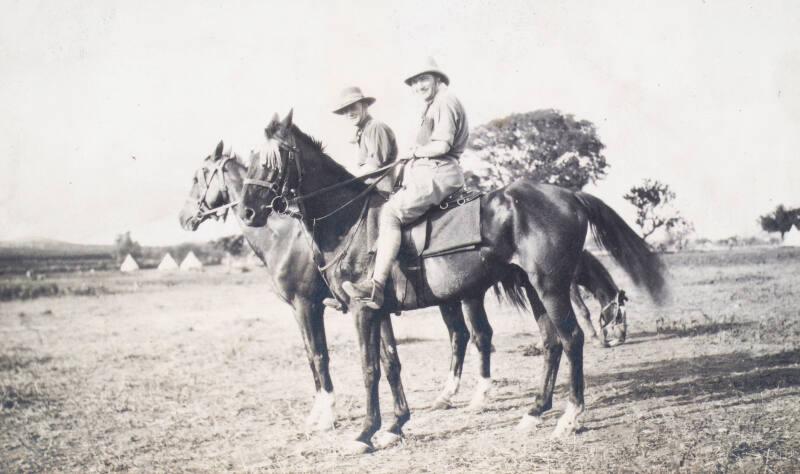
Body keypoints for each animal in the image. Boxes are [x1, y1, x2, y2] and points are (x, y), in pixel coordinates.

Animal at [238, 113, 668, 454]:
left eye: (272, 160)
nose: (246, 212)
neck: (351, 221)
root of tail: (570, 195)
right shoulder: (379, 311)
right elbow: (390, 362)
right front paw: (396, 425)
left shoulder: (360, 310)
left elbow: (367, 367)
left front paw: (364, 433)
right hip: (533, 289)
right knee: (550, 343)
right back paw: (534, 412)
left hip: (550, 287)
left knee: (571, 338)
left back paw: (570, 416)